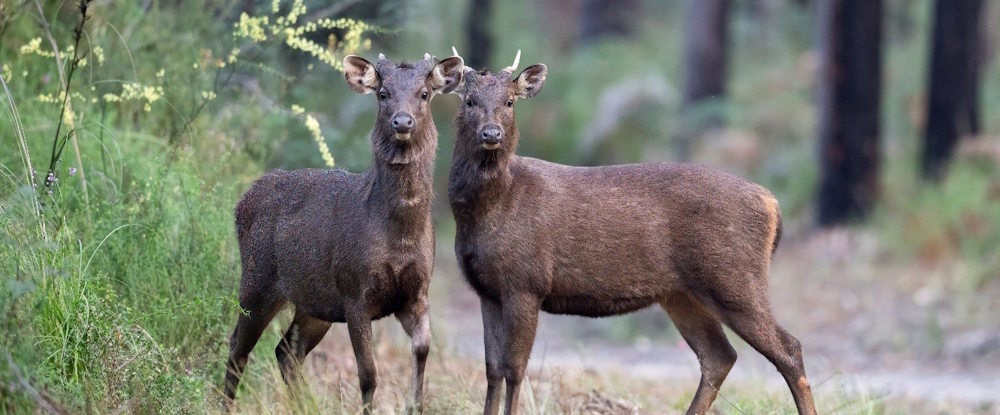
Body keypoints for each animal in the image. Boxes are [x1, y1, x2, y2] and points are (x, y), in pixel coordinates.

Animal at [222, 52, 464, 414]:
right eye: (383, 94)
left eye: (424, 93)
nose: (402, 122)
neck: (401, 237)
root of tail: (242, 202)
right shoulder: (355, 294)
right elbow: (369, 375)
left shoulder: (417, 294)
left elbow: (422, 352)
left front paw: (413, 404)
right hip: (257, 279)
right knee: (238, 347)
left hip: (314, 302)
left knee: (286, 351)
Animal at [447, 50, 818, 415]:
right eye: (469, 101)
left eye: (510, 102)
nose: (491, 133)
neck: (492, 209)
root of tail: (772, 204)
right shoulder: (487, 291)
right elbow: (492, 369)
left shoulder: (526, 283)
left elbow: (514, 368)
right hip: (681, 294)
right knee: (719, 355)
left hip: (735, 279)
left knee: (789, 348)